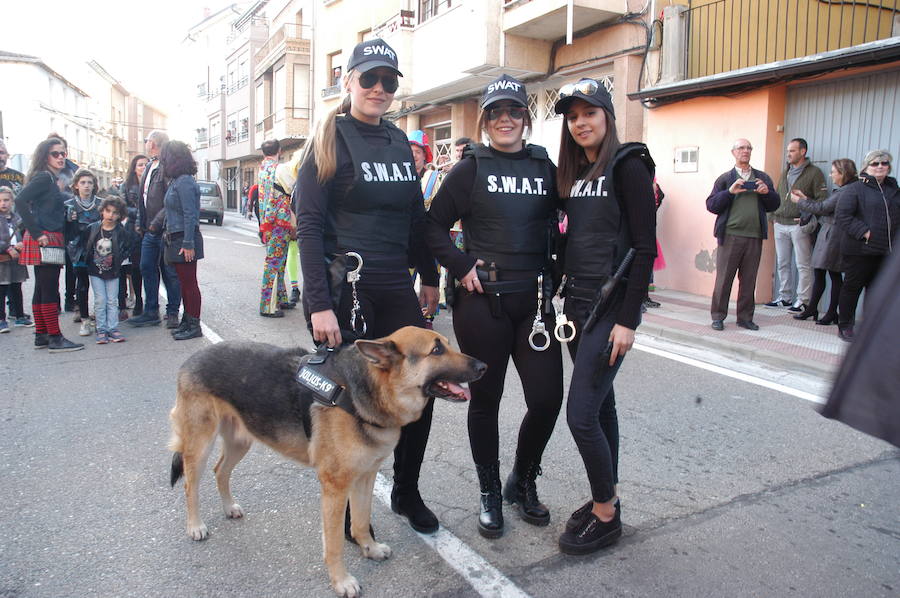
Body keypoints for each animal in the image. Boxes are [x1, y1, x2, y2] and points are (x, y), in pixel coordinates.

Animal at [172, 328, 488, 598]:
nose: (484, 366)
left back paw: (229, 508)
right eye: (436, 350)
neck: (365, 391)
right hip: (200, 446)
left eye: (446, 344)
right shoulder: (335, 487)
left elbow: (360, 522)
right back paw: (195, 526)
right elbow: (334, 542)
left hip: (241, 440)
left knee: (220, 471)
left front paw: (370, 549)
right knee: (190, 484)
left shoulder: (365, 477)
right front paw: (342, 581)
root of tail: (192, 359)